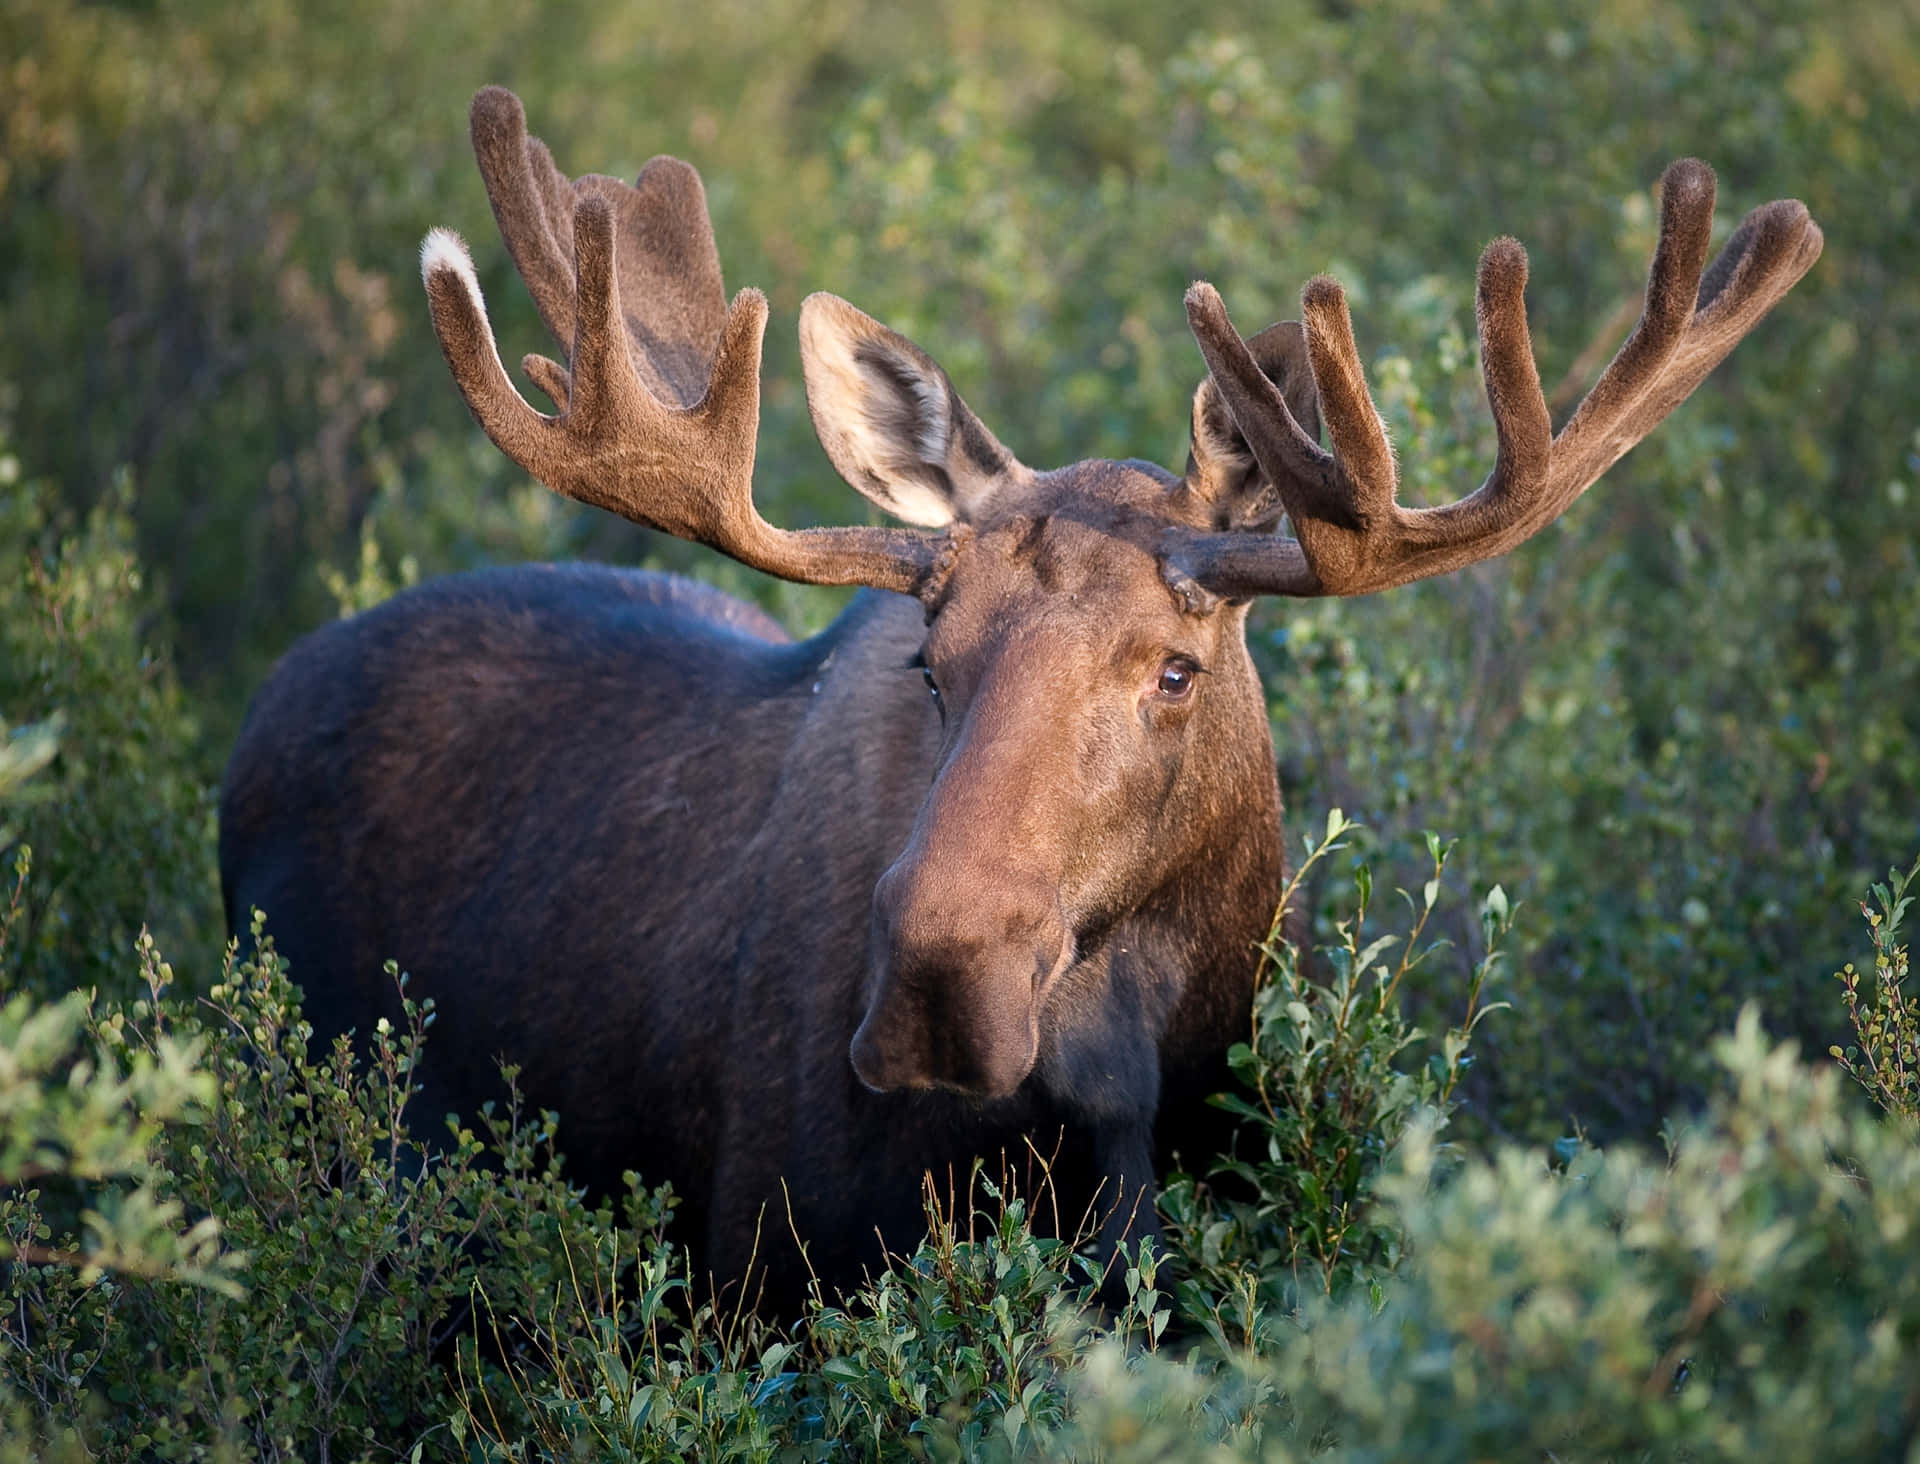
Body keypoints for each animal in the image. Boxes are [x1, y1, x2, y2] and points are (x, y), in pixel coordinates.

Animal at [217, 85, 1820, 1306]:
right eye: (929, 659)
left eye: (1176, 667)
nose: (940, 984)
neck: (1112, 1108)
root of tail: (268, 697)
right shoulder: (755, 1278)